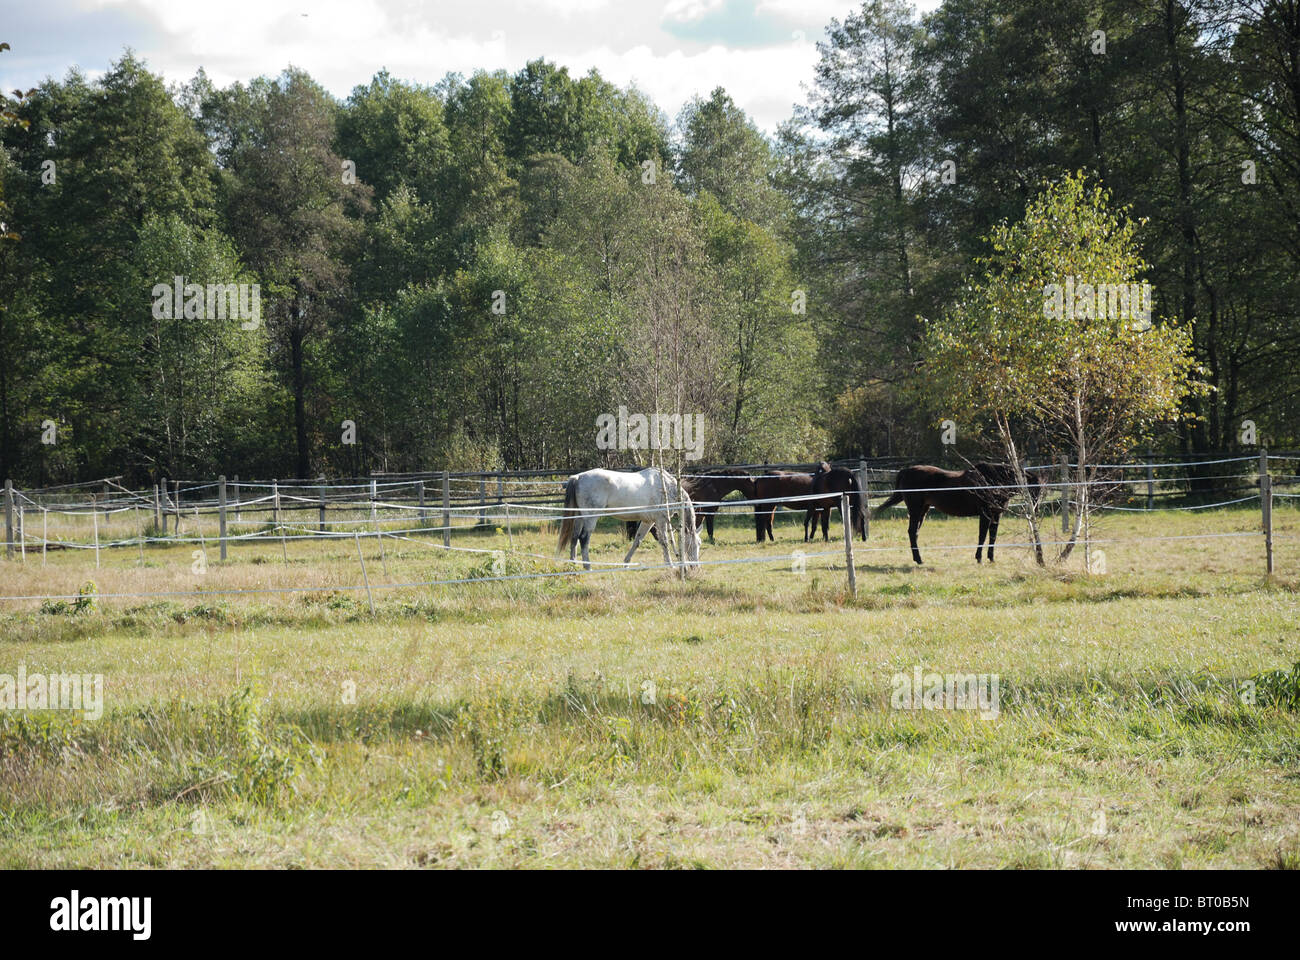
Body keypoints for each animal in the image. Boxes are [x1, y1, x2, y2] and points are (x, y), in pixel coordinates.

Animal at [559, 463, 702, 567]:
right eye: (695, 544)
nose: (696, 566)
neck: (665, 486)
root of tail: (577, 478)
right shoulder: (660, 521)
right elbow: (665, 542)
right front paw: (670, 565)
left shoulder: (648, 522)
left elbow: (637, 541)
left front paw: (626, 563)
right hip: (590, 518)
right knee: (583, 538)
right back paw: (587, 567)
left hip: (578, 517)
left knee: (574, 538)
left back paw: (573, 566)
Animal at [873, 463, 1045, 561]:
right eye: (1033, 488)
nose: (1035, 510)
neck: (992, 481)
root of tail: (906, 470)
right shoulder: (985, 514)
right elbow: (982, 535)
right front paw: (978, 558)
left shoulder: (996, 515)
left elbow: (993, 536)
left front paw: (991, 558)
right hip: (916, 510)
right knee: (911, 531)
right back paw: (919, 559)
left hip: (923, 510)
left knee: (914, 532)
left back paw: (917, 558)